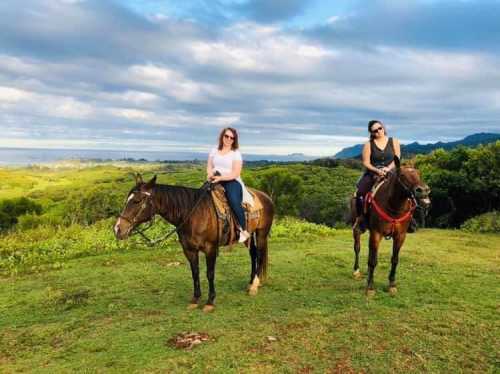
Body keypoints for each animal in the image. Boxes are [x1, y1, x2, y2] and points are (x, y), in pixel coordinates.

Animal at [113, 175, 274, 312]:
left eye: (137, 201)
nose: (117, 229)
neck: (194, 215)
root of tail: (265, 196)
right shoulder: (189, 250)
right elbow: (195, 272)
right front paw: (195, 299)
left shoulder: (210, 248)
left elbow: (210, 274)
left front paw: (210, 301)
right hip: (249, 236)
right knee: (253, 254)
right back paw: (251, 282)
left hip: (261, 234)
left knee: (259, 255)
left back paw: (254, 286)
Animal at [352, 156, 430, 296]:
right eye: (403, 175)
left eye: (418, 173)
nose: (423, 191)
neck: (394, 207)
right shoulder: (376, 233)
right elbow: (373, 260)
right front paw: (370, 287)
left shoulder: (400, 236)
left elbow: (394, 259)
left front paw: (392, 284)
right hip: (359, 226)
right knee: (357, 246)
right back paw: (356, 271)